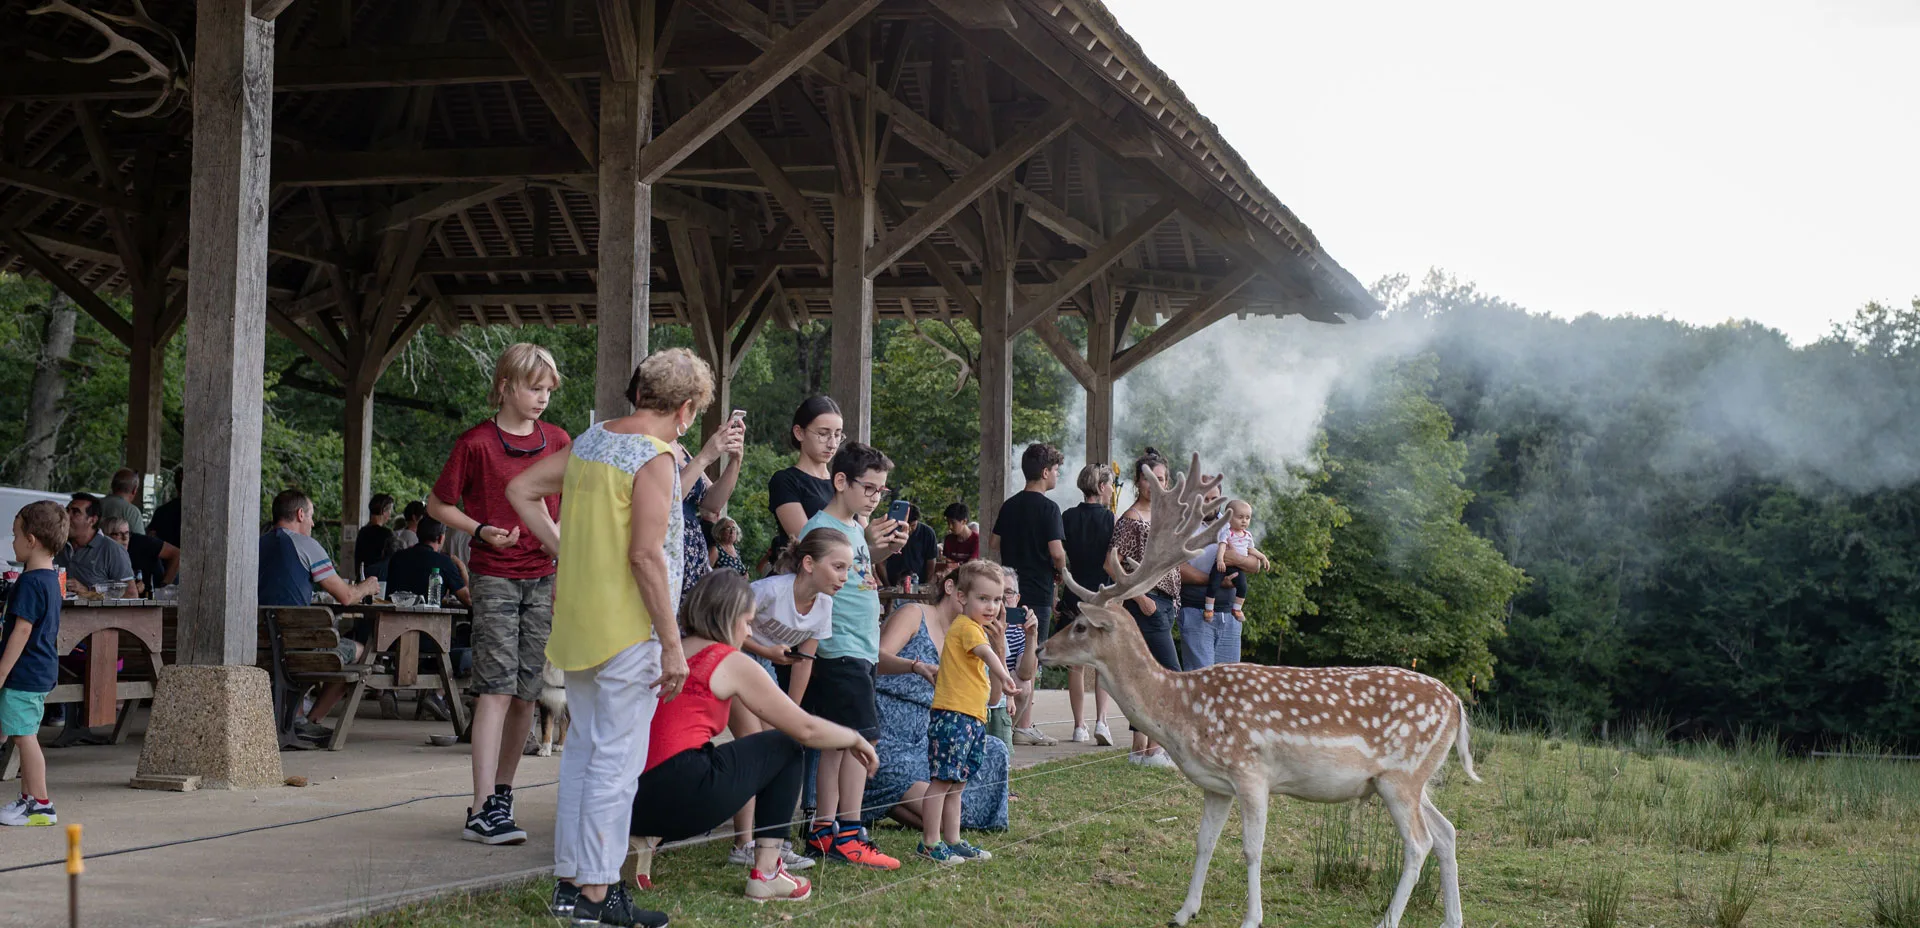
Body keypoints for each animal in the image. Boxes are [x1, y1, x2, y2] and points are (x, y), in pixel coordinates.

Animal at [1044, 457, 1474, 928]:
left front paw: (1252, 918)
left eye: (1080, 626)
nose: (1043, 647)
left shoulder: (1251, 771)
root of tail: (1456, 704)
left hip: (1401, 775)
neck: (1182, 711)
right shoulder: (1216, 784)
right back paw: (1452, 919)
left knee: (1419, 842)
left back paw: (1388, 919)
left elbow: (1252, 849)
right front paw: (1183, 911)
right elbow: (1204, 843)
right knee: (1447, 832)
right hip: (1412, 778)